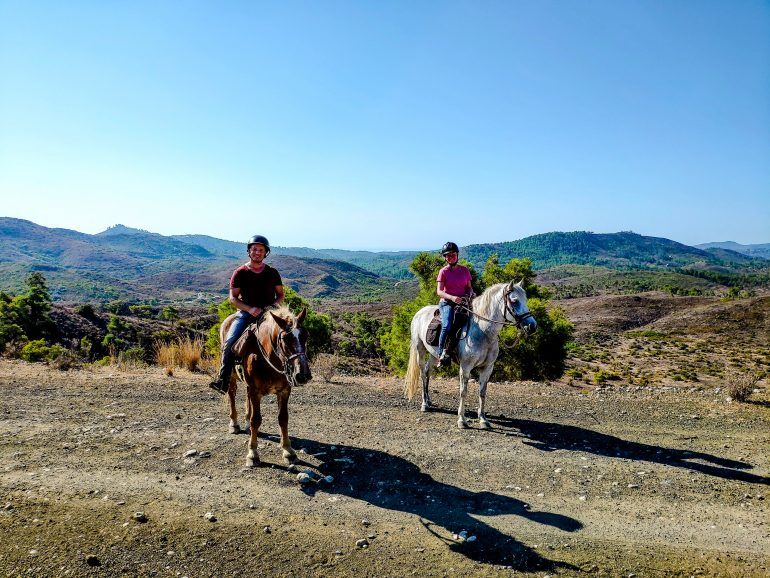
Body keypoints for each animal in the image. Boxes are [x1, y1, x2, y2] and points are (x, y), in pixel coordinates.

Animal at [219, 306, 308, 464]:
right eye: (285, 339)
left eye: (306, 336)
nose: (303, 375)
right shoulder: (255, 391)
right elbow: (256, 420)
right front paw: (253, 453)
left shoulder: (284, 391)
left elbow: (283, 418)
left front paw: (288, 451)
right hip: (232, 378)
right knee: (232, 395)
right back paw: (234, 424)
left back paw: (246, 424)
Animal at [402, 280, 536, 428]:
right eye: (514, 301)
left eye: (525, 300)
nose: (532, 326)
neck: (483, 331)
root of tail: (419, 312)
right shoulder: (465, 367)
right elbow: (463, 392)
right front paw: (462, 420)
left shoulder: (487, 368)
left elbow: (482, 393)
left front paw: (483, 419)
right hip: (419, 349)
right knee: (422, 373)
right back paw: (424, 403)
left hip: (434, 354)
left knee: (427, 371)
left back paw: (429, 400)